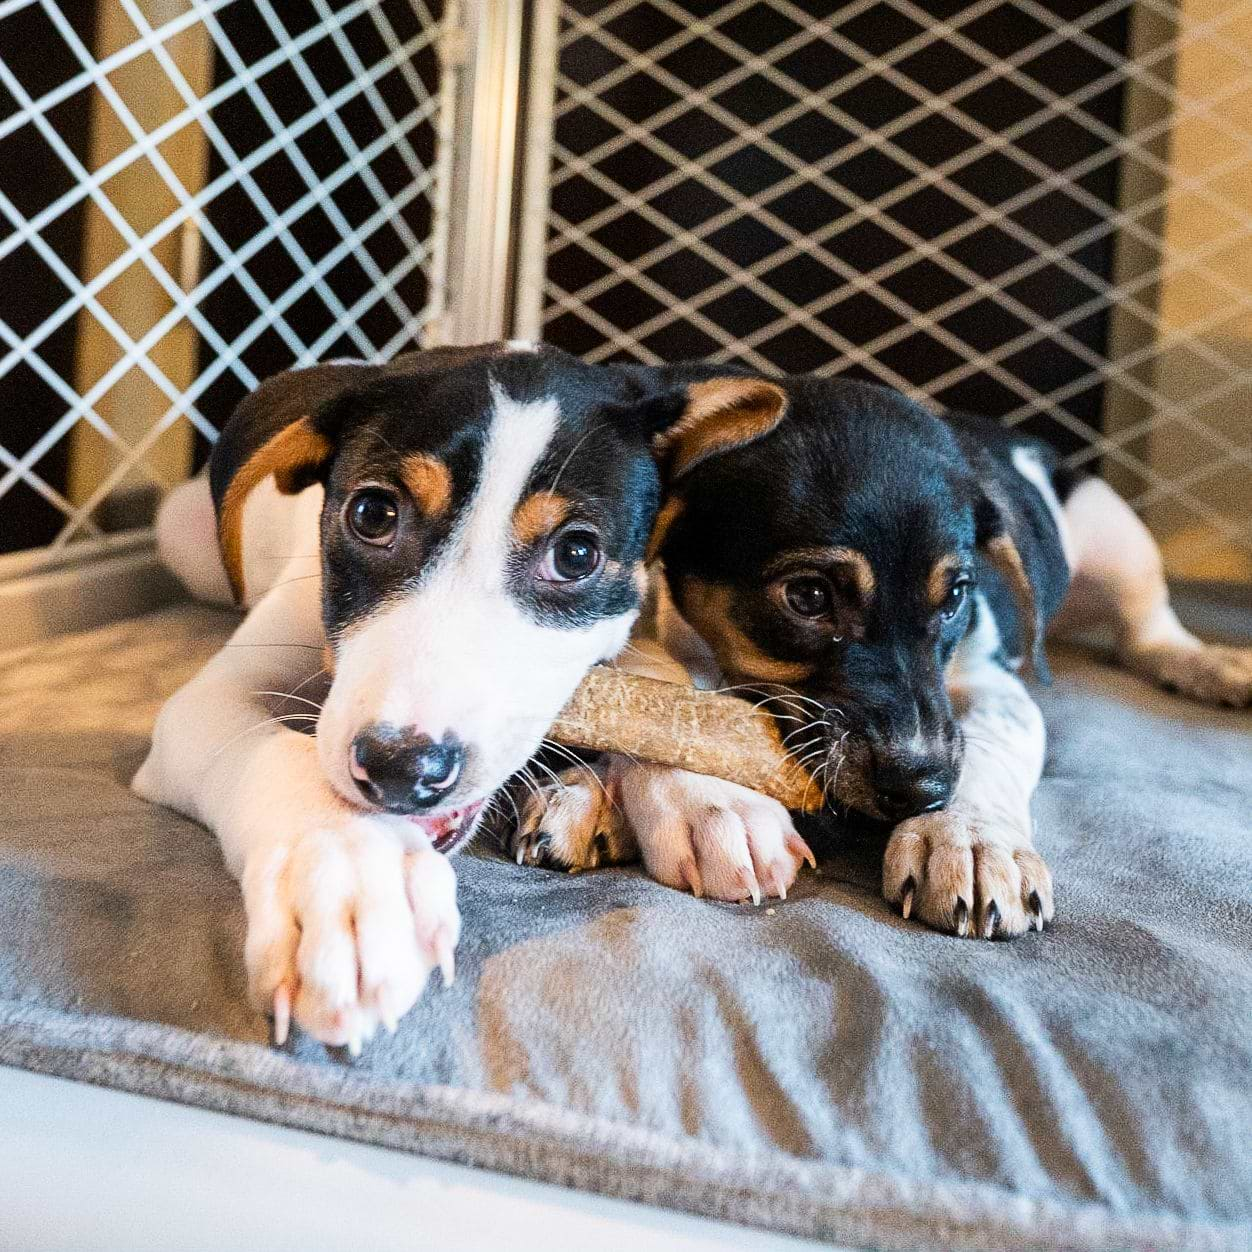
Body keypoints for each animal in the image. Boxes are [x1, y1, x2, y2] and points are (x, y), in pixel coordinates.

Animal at [134, 340, 741, 1046]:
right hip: (183, 536)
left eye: (577, 554)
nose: (401, 770)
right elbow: (282, 754)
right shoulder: (208, 700)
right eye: (372, 515)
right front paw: (347, 874)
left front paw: (709, 795)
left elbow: (664, 678)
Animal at [510, 365, 1252, 941]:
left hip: (1114, 536)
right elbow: (656, 694)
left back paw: (1212, 666)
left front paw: (970, 839)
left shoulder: (987, 681)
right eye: (807, 596)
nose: (922, 789)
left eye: (957, 595)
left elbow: (990, 744)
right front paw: (630, 796)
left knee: (1149, 630)